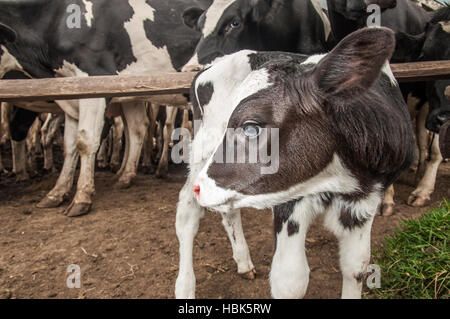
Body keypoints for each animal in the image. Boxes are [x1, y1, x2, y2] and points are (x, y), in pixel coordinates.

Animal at [0, 0, 211, 218]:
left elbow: (85, 142)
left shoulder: (94, 80)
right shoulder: (71, 94)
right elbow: (70, 145)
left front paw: (82, 197)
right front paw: (57, 192)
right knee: (139, 128)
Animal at [174, 28, 414, 300]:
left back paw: (243, 262)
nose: (200, 187)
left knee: (228, 209)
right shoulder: (289, 202)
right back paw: (184, 287)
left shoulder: (366, 201)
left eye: (250, 127)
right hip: (203, 151)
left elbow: (357, 267)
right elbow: (290, 280)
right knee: (187, 211)